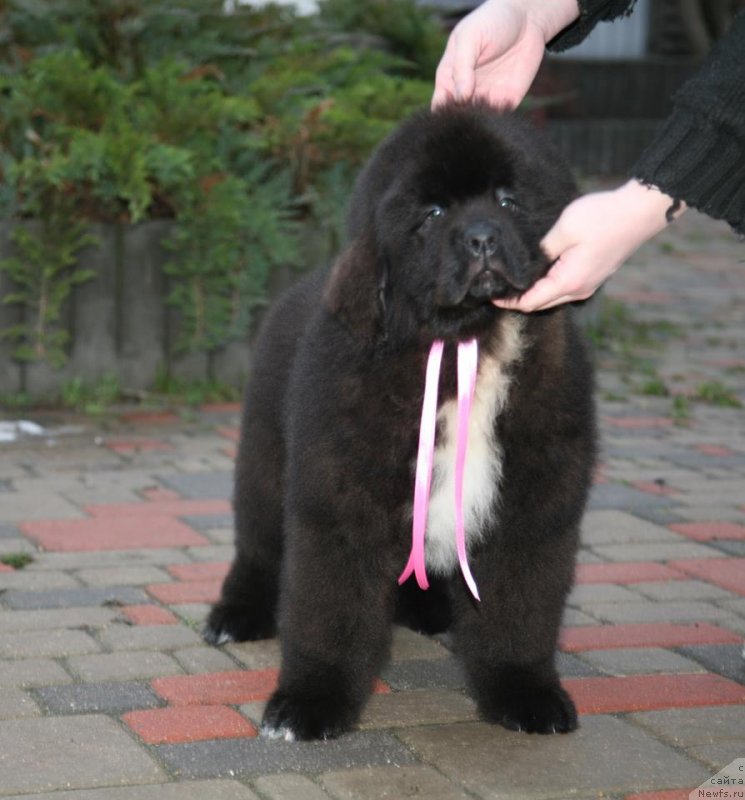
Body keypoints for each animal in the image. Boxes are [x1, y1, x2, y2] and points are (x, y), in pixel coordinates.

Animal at [205, 103, 600, 740]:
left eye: (509, 199)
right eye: (432, 213)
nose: (482, 237)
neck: (467, 342)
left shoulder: (533, 505)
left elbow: (521, 610)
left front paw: (525, 692)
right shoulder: (339, 499)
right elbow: (329, 609)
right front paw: (309, 701)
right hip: (265, 458)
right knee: (258, 546)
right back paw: (235, 615)